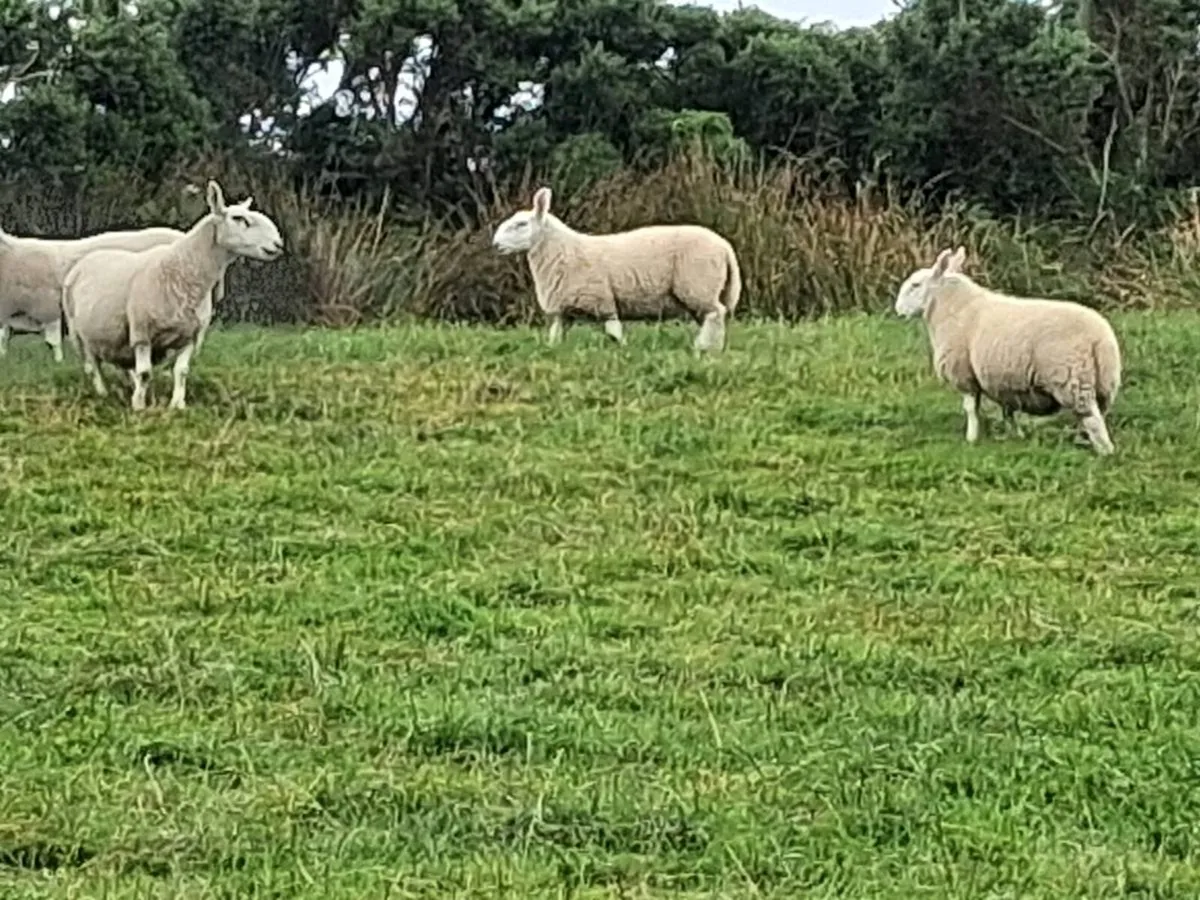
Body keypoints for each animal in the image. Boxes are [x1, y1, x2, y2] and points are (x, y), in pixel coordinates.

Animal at [61, 179, 282, 411]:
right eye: (238, 218)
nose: (278, 245)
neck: (182, 270)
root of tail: (88, 258)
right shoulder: (141, 332)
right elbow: (145, 373)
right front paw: (139, 406)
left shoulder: (191, 335)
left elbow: (181, 371)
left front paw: (177, 404)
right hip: (78, 333)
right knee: (92, 366)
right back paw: (103, 393)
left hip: (115, 337)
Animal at [491, 186, 742, 351]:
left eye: (521, 224)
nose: (495, 244)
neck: (563, 250)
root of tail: (725, 246)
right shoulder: (562, 309)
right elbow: (556, 335)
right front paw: (553, 349)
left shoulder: (602, 301)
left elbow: (614, 332)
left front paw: (622, 349)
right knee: (713, 318)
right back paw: (713, 346)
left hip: (698, 285)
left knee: (716, 313)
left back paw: (703, 347)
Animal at [894, 245, 1122, 455]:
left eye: (915, 285)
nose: (898, 311)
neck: (952, 307)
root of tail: (1100, 338)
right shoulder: (1005, 378)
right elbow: (1008, 410)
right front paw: (1015, 435)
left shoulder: (964, 372)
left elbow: (971, 409)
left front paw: (971, 438)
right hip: (1103, 383)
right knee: (1095, 415)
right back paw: (1083, 440)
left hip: (1071, 378)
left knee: (1092, 419)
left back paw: (1105, 452)